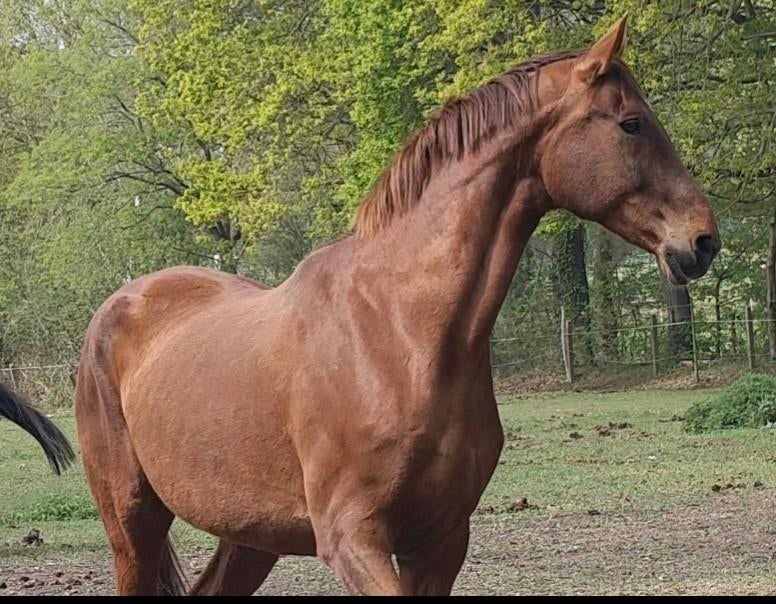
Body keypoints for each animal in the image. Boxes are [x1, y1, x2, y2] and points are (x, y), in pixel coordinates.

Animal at [74, 17, 719, 596]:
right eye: (631, 123)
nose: (703, 240)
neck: (401, 333)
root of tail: (119, 306)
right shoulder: (352, 537)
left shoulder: (439, 540)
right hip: (133, 525)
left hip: (250, 535)